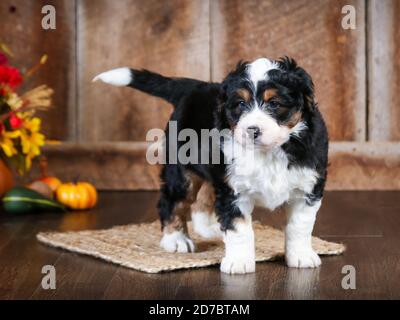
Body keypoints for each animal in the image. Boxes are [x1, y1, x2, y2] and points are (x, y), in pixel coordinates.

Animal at [94, 56, 328, 274]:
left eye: (274, 104)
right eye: (240, 104)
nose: (252, 130)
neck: (270, 152)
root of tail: (194, 87)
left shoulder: (308, 187)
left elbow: (300, 226)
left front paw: (301, 256)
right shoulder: (234, 190)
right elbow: (239, 229)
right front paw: (239, 262)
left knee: (203, 196)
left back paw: (208, 228)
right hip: (182, 171)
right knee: (171, 201)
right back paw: (176, 239)